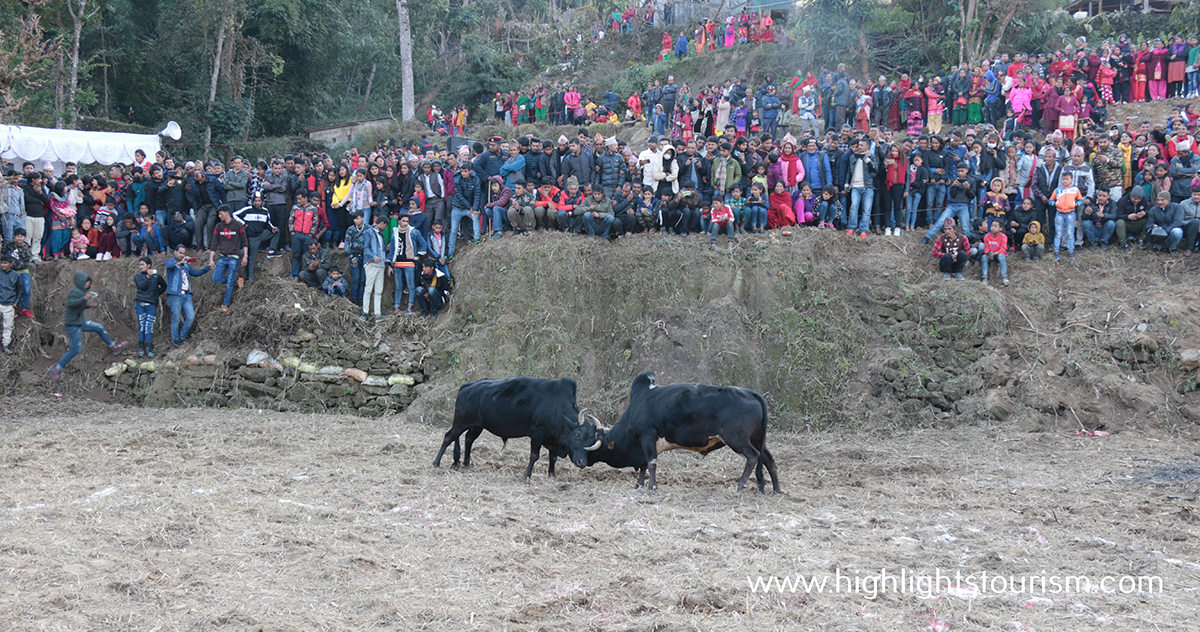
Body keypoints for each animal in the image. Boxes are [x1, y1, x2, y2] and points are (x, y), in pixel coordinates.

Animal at [588, 371, 777, 494]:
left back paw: (740, 485)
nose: (582, 461)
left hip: (737, 439)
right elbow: (643, 465)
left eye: (599, 447)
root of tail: (751, 393)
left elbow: (651, 463)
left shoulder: (647, 437)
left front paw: (651, 487)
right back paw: (776, 489)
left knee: (753, 455)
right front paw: (639, 485)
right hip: (757, 438)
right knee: (768, 459)